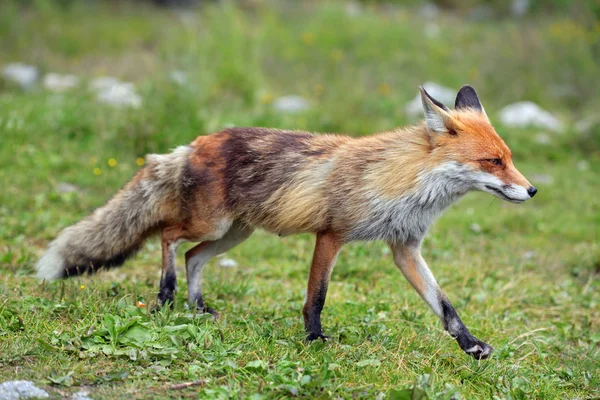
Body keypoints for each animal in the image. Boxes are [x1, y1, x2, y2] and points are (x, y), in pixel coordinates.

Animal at [37, 84, 536, 360]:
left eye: (510, 158)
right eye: (493, 162)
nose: (532, 191)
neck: (401, 182)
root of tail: (194, 141)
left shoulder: (405, 248)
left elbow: (446, 307)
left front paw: (471, 345)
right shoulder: (331, 235)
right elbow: (317, 296)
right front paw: (314, 339)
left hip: (235, 234)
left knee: (194, 256)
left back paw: (197, 307)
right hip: (212, 225)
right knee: (168, 237)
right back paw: (166, 294)